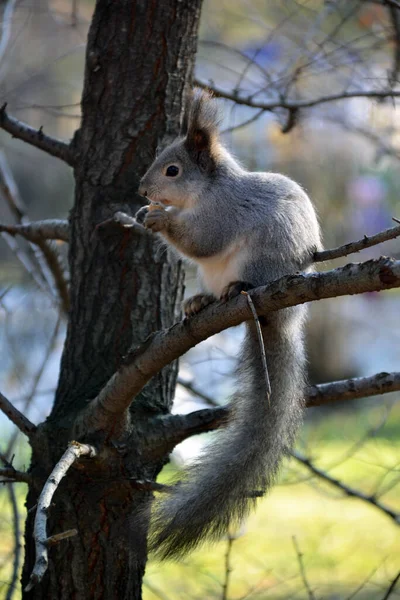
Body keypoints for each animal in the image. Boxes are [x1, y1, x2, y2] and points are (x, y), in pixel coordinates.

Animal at [138, 90, 322, 564]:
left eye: (172, 170)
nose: (142, 190)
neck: (206, 193)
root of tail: (287, 318)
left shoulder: (223, 215)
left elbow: (203, 240)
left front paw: (159, 219)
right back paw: (199, 300)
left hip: (264, 260)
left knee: (247, 276)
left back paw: (239, 288)